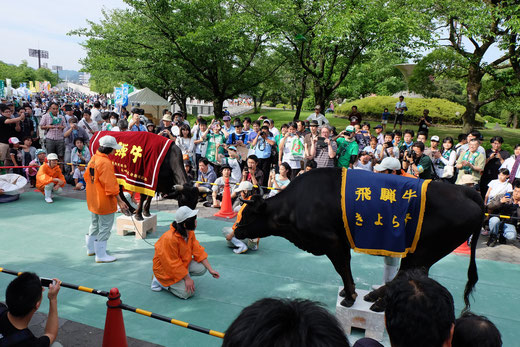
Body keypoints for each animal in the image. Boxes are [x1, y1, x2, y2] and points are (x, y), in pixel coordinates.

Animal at [234, 169, 486, 312]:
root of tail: (466, 192)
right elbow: (345, 267)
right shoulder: (340, 242)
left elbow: (342, 267)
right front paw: (349, 293)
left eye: (248, 214)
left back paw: (378, 301)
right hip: (423, 252)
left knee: (407, 275)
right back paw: (376, 296)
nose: (236, 230)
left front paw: (350, 296)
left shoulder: (332, 241)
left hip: (423, 250)